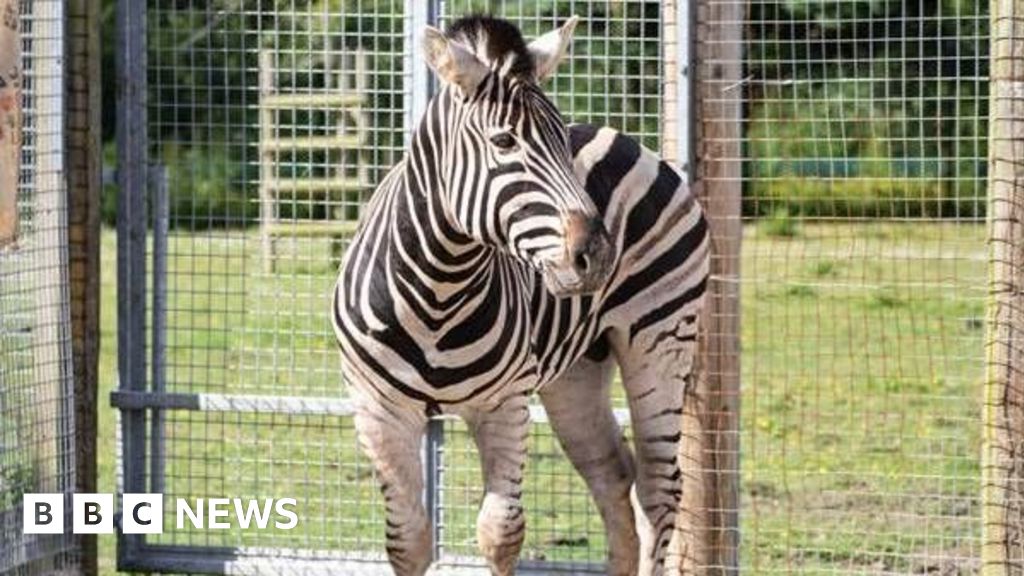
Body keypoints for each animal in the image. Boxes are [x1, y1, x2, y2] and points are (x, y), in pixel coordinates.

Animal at [332, 15, 709, 576]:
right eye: (504, 141)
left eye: (562, 140)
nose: (599, 255)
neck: (437, 289)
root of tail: (620, 136)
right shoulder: (378, 409)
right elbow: (407, 539)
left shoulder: (504, 404)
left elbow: (500, 533)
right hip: (578, 371)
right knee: (612, 473)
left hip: (662, 337)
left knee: (659, 489)